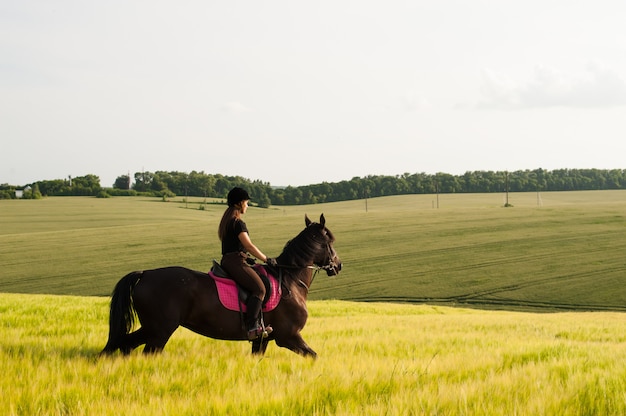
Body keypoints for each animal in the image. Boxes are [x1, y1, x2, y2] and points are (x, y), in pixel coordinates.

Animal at [100, 214, 342, 358]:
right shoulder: (289, 336)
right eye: (330, 242)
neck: (289, 282)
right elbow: (313, 356)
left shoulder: (262, 340)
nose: (338, 265)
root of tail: (146, 274)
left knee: (125, 344)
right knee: (141, 350)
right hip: (160, 330)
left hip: (152, 328)